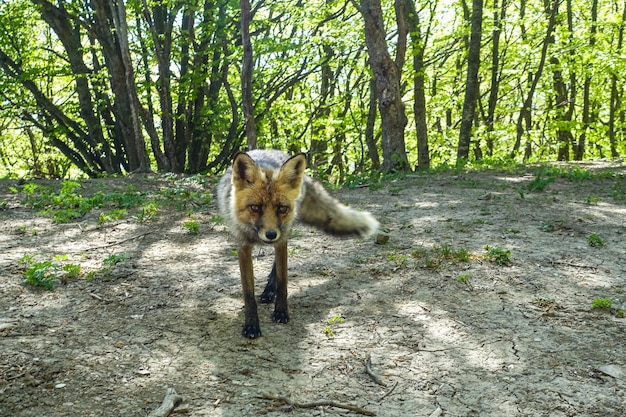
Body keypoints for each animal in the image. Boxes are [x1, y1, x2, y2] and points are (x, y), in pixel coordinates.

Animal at [217, 150, 378, 338]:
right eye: (255, 207)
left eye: (282, 208)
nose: (271, 235)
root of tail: (274, 151)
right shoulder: (243, 246)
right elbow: (248, 293)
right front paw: (251, 325)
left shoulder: (281, 241)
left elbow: (283, 281)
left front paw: (280, 311)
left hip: (286, 232)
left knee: (276, 267)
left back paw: (269, 291)